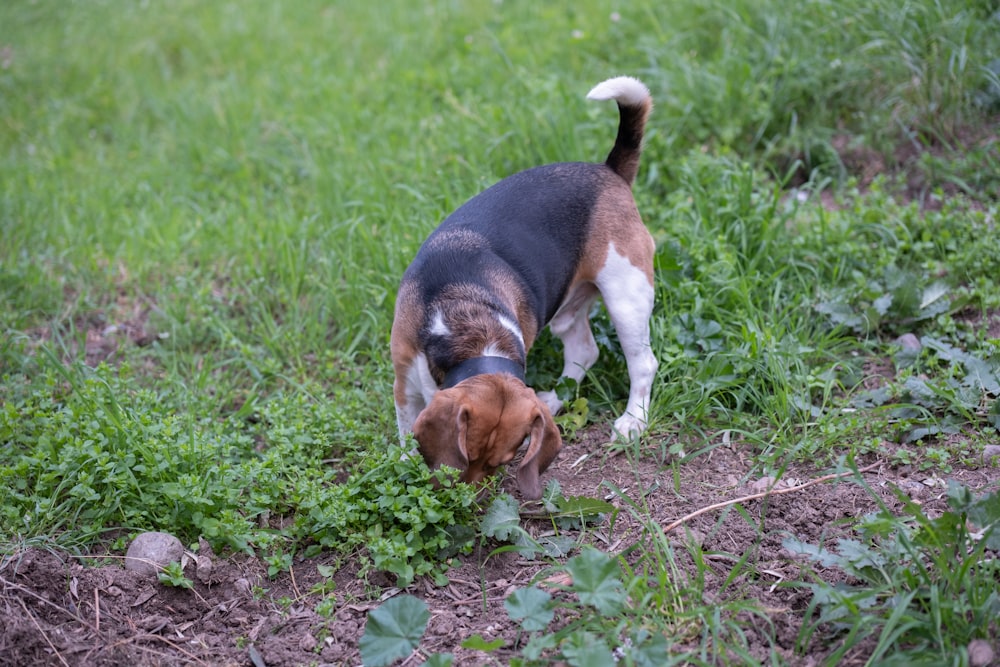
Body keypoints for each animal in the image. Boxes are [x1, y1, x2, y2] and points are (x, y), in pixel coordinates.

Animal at [394, 75, 660, 498]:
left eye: (504, 461)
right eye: (466, 454)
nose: (471, 500)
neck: (470, 324)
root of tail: (609, 172)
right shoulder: (403, 376)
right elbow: (406, 427)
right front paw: (405, 462)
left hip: (627, 296)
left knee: (643, 363)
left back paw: (633, 419)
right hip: (569, 308)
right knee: (585, 350)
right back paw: (552, 398)